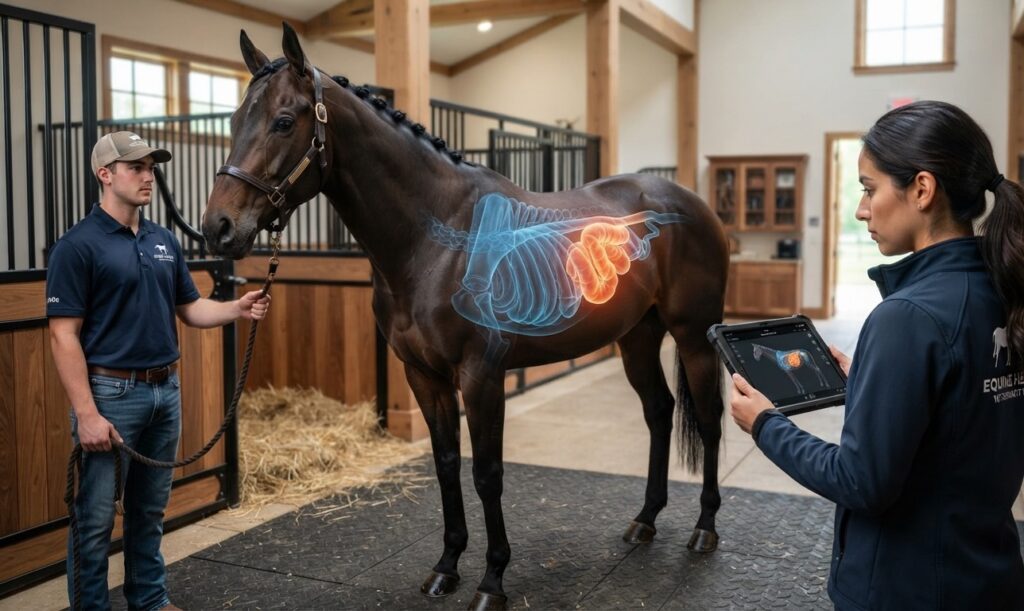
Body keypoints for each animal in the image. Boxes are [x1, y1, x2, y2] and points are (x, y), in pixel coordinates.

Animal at [201, 24, 729, 610]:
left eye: (284, 121)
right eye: (232, 122)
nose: (218, 228)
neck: (435, 240)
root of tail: (687, 201)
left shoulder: (482, 377)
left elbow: (487, 474)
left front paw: (492, 581)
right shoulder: (423, 376)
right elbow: (447, 464)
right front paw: (446, 567)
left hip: (693, 336)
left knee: (709, 420)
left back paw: (704, 530)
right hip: (637, 336)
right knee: (659, 411)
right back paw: (644, 521)